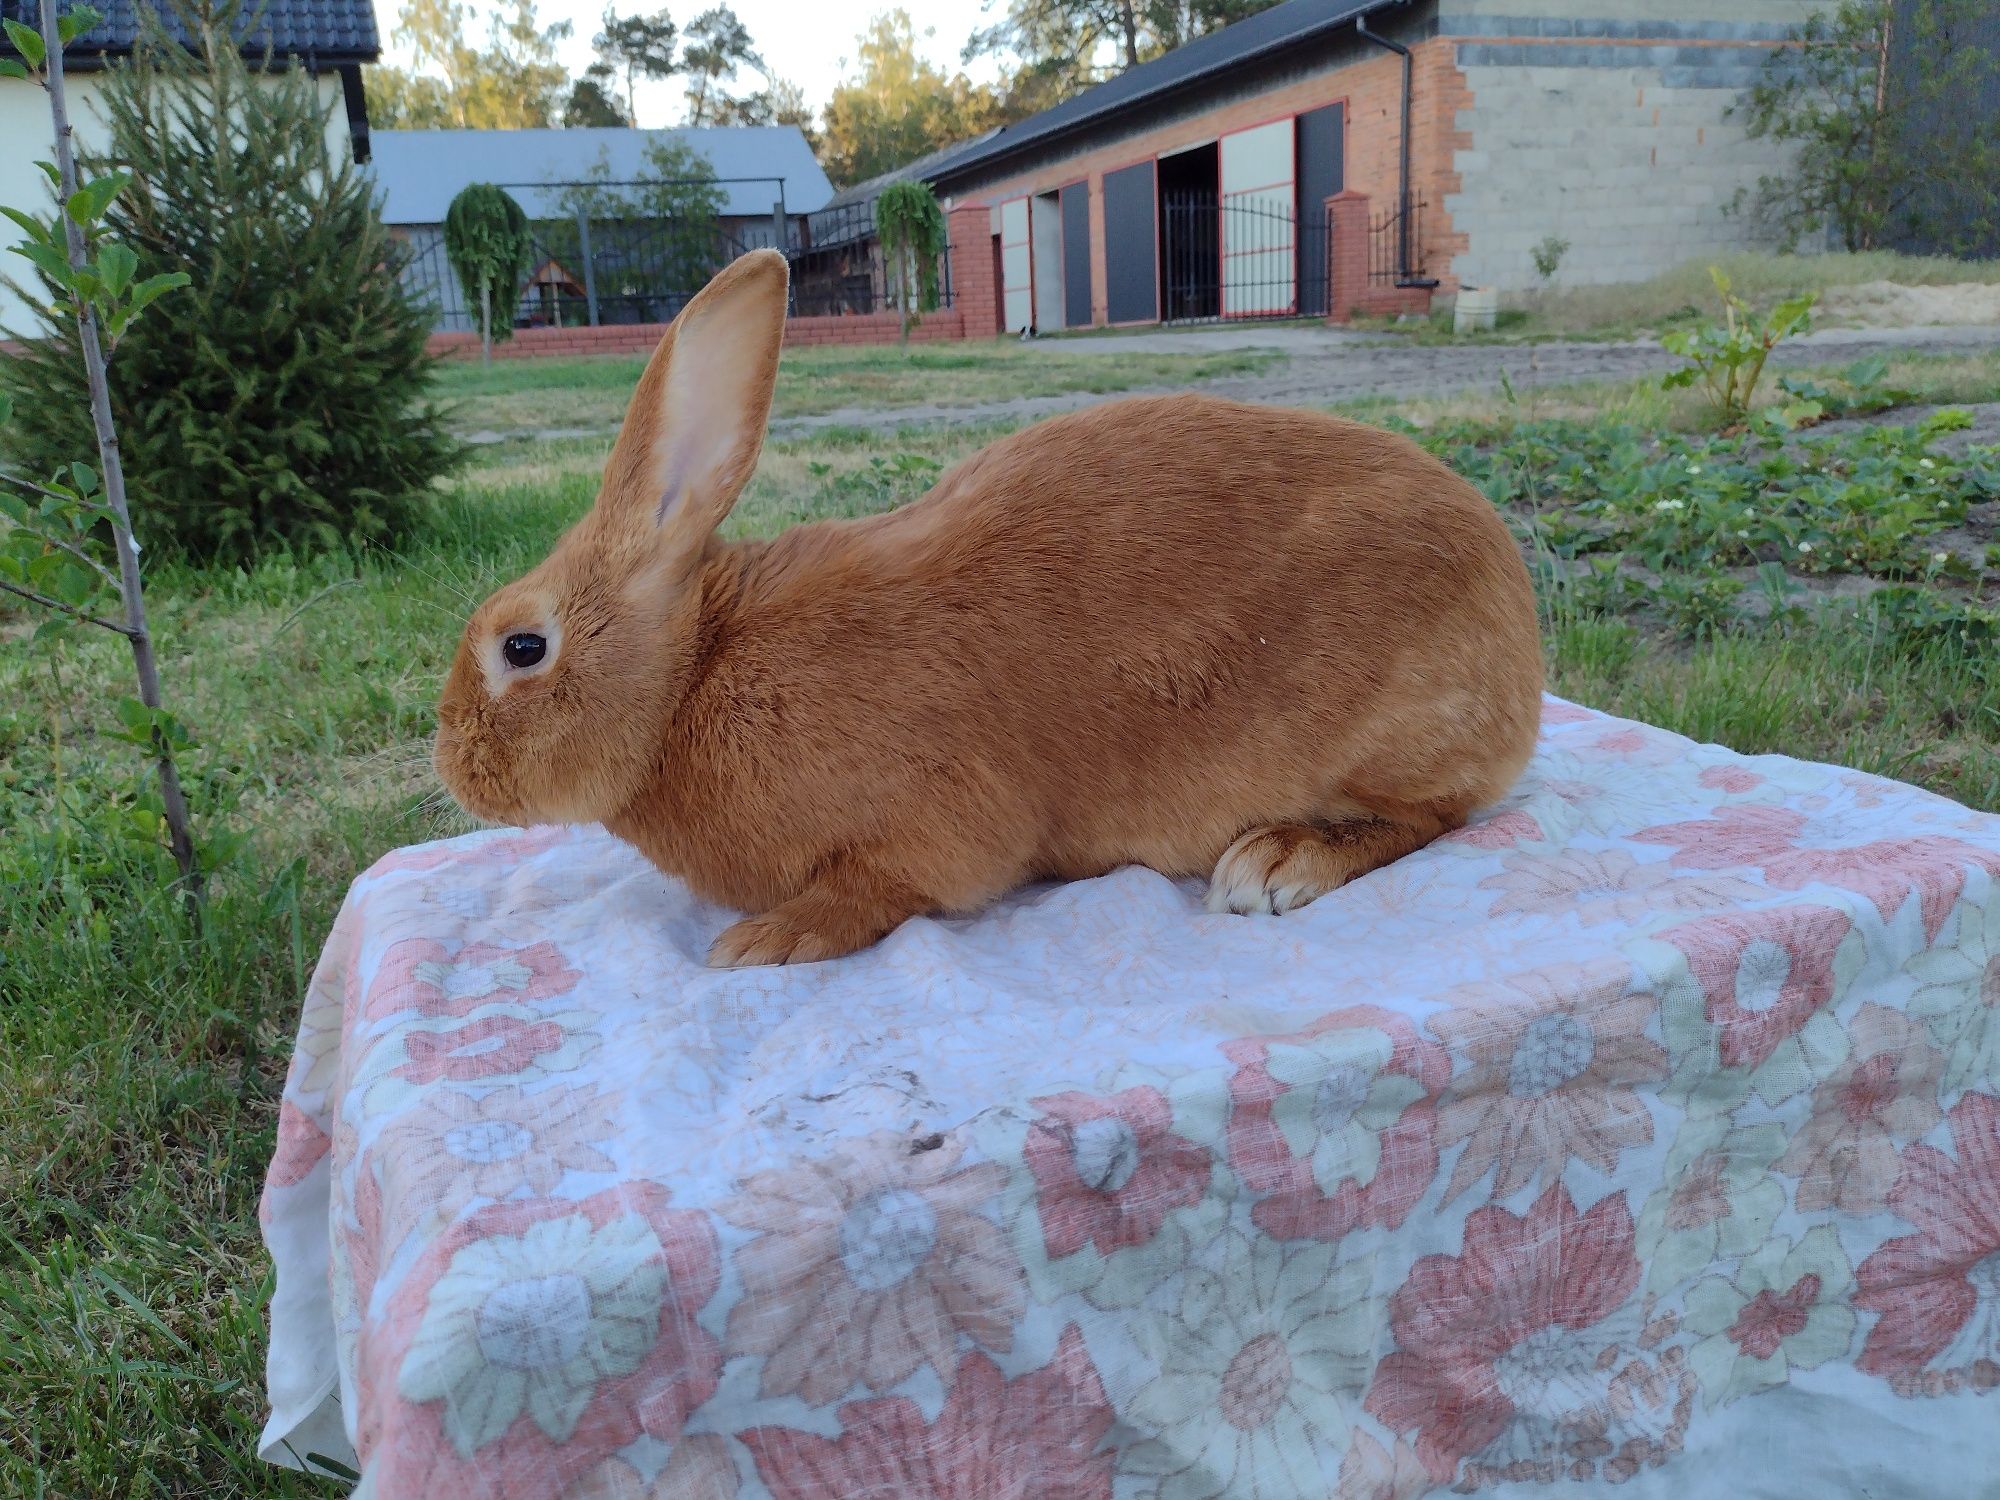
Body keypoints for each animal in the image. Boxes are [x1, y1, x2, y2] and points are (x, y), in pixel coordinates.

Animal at [430, 253, 1536, 968]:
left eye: (522, 647)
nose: (454, 768)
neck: (690, 675)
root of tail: (1513, 611)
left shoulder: (935, 826)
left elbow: (883, 888)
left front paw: (764, 940)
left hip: (1394, 723)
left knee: (1432, 814)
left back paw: (1277, 863)